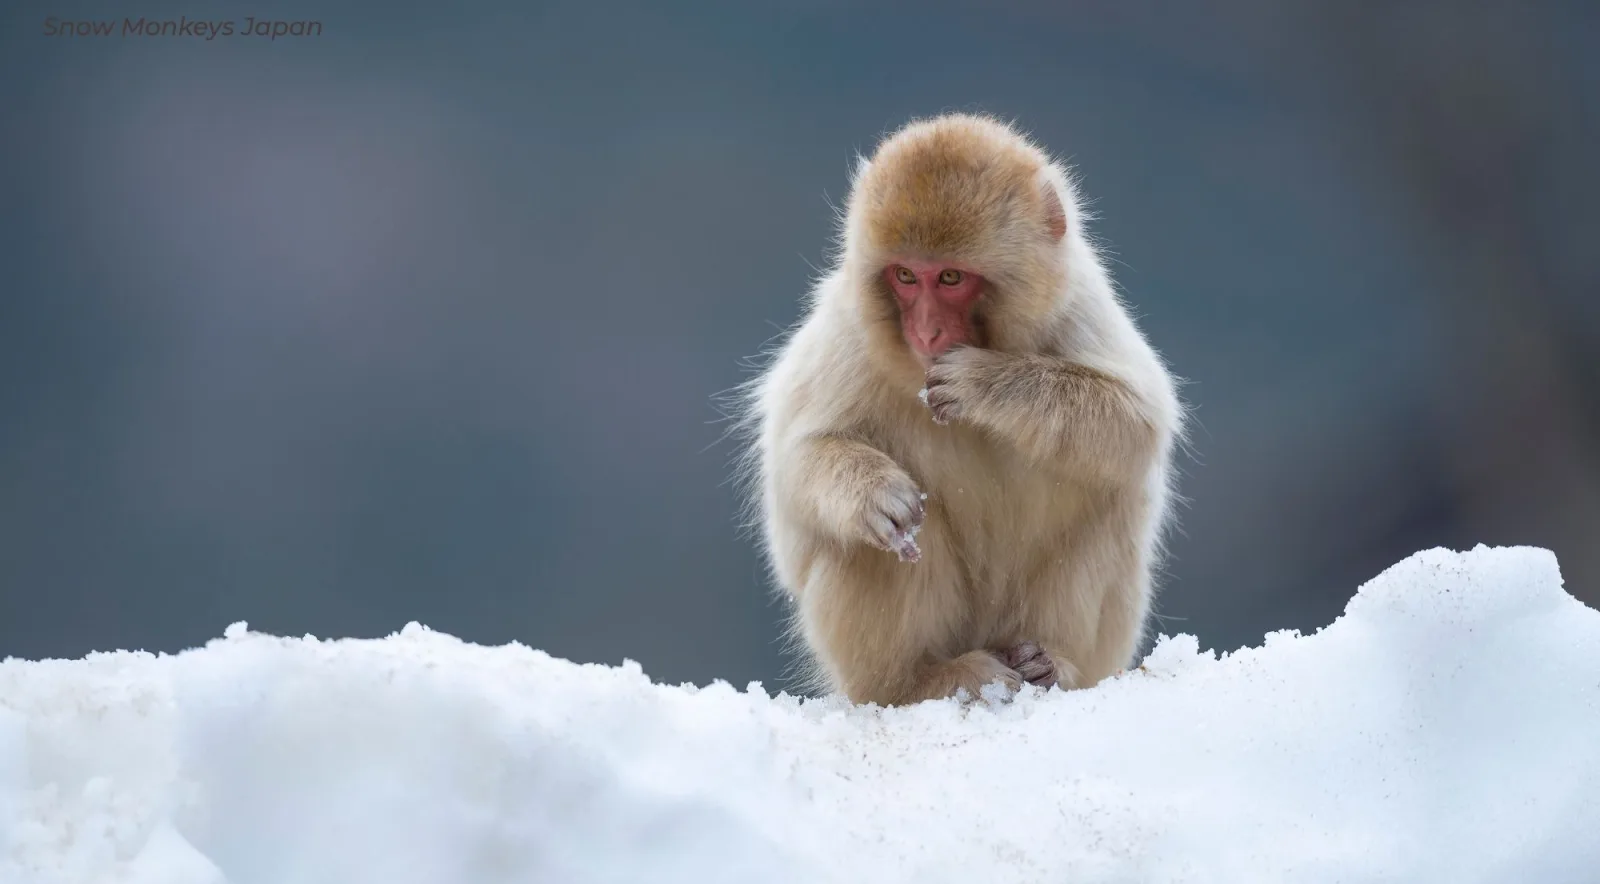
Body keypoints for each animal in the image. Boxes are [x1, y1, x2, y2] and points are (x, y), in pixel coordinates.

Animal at [732, 113, 1183, 707]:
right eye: (905, 276)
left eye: (950, 277)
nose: (925, 332)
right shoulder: (849, 333)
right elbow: (794, 463)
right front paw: (875, 493)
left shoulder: (1078, 307)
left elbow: (1138, 422)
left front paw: (986, 384)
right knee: (879, 539)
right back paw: (923, 680)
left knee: (1110, 495)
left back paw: (1049, 665)